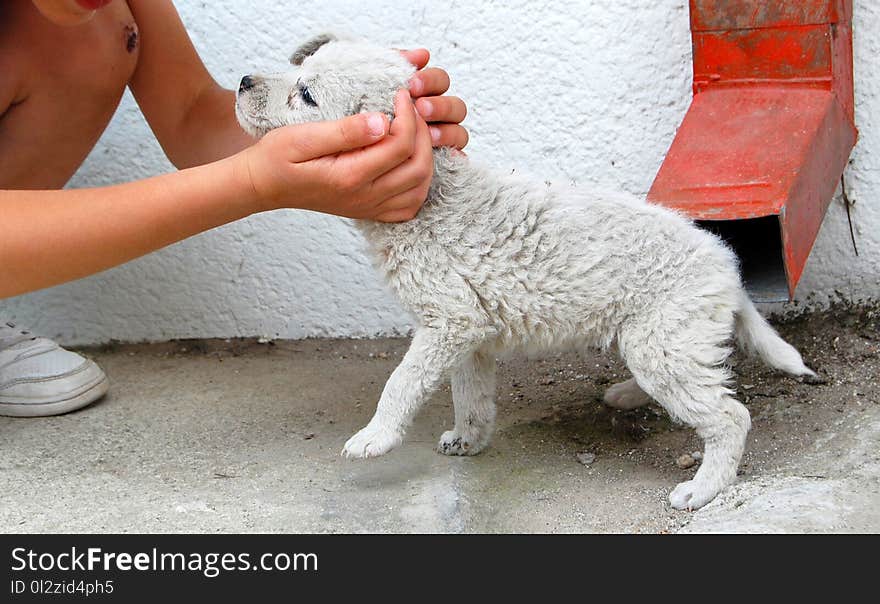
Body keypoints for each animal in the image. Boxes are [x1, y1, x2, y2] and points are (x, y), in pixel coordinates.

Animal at [237, 35, 816, 510]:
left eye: (306, 94)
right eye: (299, 68)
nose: (242, 81)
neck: (430, 196)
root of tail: (726, 265)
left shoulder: (448, 322)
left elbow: (401, 382)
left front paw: (375, 437)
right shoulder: (468, 334)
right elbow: (469, 395)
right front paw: (467, 439)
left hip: (664, 341)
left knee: (728, 417)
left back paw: (703, 489)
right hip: (656, 340)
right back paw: (627, 395)